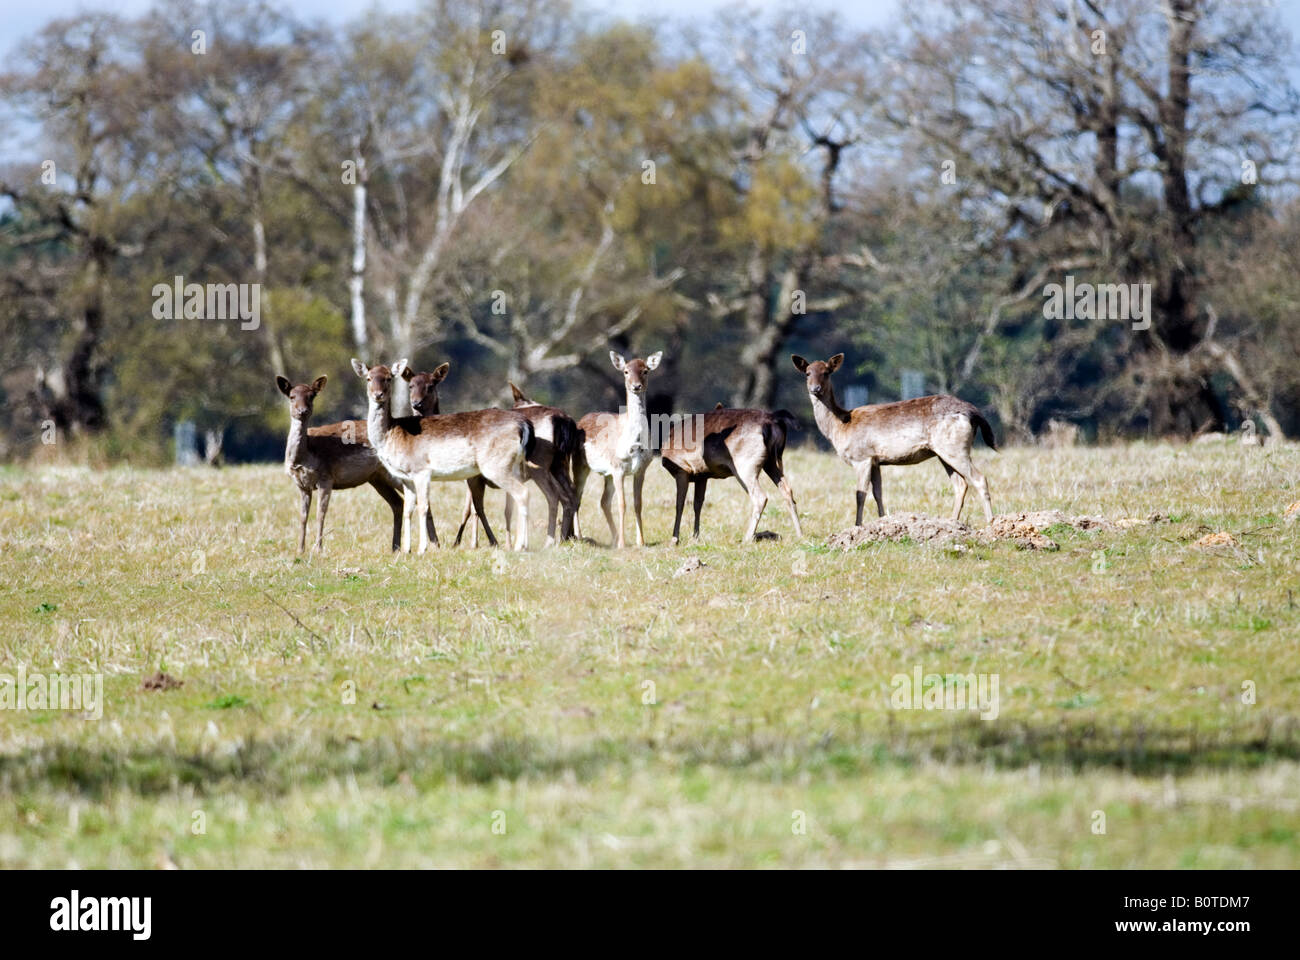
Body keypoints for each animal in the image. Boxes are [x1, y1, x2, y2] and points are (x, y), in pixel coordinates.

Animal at [275, 374, 435, 552]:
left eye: (311, 396)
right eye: (292, 396)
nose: (302, 411)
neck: (306, 456)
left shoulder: (326, 477)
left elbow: (320, 514)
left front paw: (318, 549)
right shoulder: (302, 485)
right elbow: (303, 517)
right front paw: (300, 550)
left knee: (423, 500)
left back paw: (435, 545)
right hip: (377, 478)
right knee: (398, 503)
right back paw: (395, 547)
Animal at [351, 358, 532, 552]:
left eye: (388, 378)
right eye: (368, 378)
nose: (378, 395)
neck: (391, 434)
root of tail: (523, 425)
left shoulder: (421, 470)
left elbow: (423, 506)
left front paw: (422, 549)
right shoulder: (406, 478)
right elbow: (408, 509)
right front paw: (406, 549)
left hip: (496, 466)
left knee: (523, 493)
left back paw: (519, 546)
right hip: (514, 467)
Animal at [571, 350, 662, 548]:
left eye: (645, 370)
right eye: (626, 371)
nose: (636, 386)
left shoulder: (641, 469)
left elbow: (638, 503)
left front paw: (640, 541)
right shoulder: (618, 467)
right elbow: (622, 504)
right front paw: (622, 544)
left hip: (607, 474)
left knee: (603, 501)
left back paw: (613, 537)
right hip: (580, 464)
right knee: (576, 496)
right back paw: (579, 536)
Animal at [660, 406, 803, 544]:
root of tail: (773, 419)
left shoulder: (682, 469)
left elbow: (679, 504)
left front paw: (675, 539)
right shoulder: (702, 475)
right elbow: (697, 504)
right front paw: (695, 537)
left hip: (745, 464)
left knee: (760, 497)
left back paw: (747, 538)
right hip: (771, 461)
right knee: (787, 490)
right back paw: (800, 535)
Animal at [791, 353, 996, 525]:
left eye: (826, 372)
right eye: (807, 373)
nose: (815, 389)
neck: (840, 426)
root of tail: (973, 411)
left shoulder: (861, 457)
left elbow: (860, 494)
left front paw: (857, 526)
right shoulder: (875, 460)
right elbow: (878, 493)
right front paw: (882, 521)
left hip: (954, 447)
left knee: (979, 478)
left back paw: (990, 522)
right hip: (943, 451)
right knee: (960, 485)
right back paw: (952, 523)